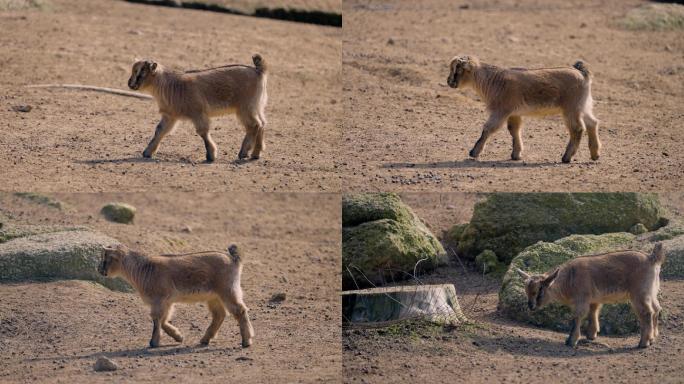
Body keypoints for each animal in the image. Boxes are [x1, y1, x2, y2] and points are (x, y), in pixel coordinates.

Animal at [98, 246, 254, 348]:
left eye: (106, 259)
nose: (99, 270)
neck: (144, 269)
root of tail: (233, 259)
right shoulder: (166, 302)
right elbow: (163, 320)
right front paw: (179, 337)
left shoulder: (159, 300)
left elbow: (157, 320)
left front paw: (153, 343)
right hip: (214, 297)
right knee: (219, 315)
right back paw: (204, 339)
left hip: (227, 290)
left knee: (240, 310)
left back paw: (246, 341)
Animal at [128, 53, 268, 160]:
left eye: (141, 72)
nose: (130, 84)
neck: (171, 86)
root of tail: (258, 70)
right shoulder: (170, 115)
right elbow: (160, 130)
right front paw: (147, 152)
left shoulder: (198, 112)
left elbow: (202, 132)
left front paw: (211, 155)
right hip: (257, 106)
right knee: (261, 124)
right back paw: (256, 153)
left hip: (245, 107)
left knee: (254, 125)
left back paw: (244, 152)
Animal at [444, 54, 600, 163]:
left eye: (457, 69)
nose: (449, 82)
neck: (494, 81)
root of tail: (582, 73)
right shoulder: (513, 112)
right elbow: (514, 130)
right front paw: (516, 154)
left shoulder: (501, 110)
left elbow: (488, 128)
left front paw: (474, 152)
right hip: (583, 105)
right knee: (592, 123)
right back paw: (595, 154)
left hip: (571, 108)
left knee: (577, 129)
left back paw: (566, 157)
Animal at [520, 244, 664, 350]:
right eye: (526, 291)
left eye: (539, 290)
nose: (530, 306)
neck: (569, 278)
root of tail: (651, 258)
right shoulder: (593, 300)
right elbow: (592, 313)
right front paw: (591, 335)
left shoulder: (581, 299)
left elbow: (577, 317)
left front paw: (571, 341)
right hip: (651, 291)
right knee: (657, 308)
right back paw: (653, 338)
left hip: (639, 294)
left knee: (647, 313)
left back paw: (643, 343)